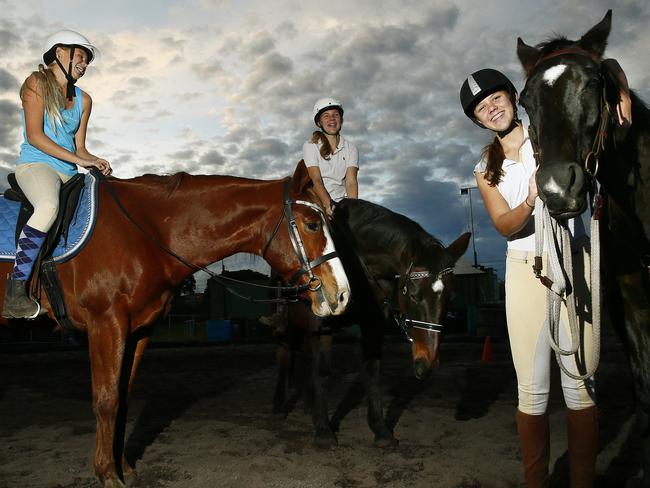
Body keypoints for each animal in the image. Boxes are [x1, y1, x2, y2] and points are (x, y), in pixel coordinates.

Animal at [0, 161, 350, 488]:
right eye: (312, 224)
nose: (343, 295)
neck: (144, 231)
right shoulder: (106, 323)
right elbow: (107, 399)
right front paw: (107, 474)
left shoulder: (139, 330)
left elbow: (124, 397)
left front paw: (124, 468)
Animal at [270, 197, 468, 446]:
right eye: (413, 295)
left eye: (451, 296)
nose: (427, 365)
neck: (356, 263)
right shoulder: (321, 326)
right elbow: (322, 372)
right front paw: (324, 430)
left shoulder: (373, 325)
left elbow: (372, 372)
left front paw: (380, 430)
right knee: (284, 355)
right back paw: (279, 406)